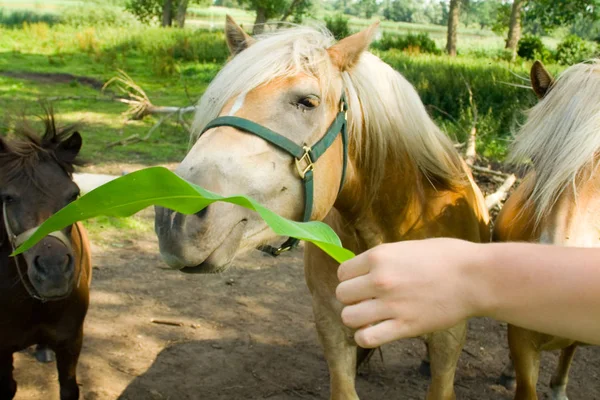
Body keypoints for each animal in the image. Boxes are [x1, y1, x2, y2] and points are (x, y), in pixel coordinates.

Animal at [0, 113, 92, 400]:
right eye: (8, 197)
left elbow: (69, 388)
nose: (53, 271)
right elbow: (8, 387)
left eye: (74, 195)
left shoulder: (71, 341)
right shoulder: (2, 350)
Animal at [157, 17, 490, 398]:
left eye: (308, 101)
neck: (402, 221)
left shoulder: (449, 337)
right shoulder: (331, 323)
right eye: (217, 101)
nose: (175, 215)